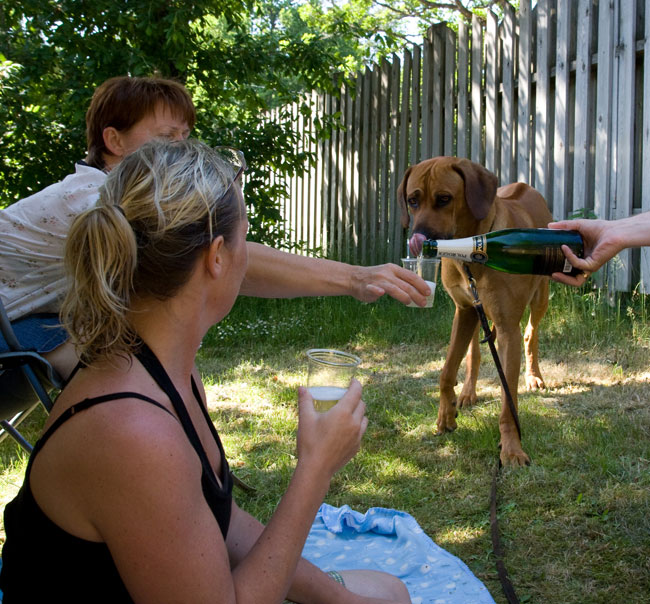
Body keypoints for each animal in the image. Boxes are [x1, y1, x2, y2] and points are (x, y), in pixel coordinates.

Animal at [398, 157, 548, 468]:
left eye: (444, 199)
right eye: (412, 200)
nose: (419, 240)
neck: (471, 255)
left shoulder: (508, 327)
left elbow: (508, 399)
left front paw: (511, 449)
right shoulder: (464, 311)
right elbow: (446, 371)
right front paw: (445, 415)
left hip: (542, 295)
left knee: (531, 333)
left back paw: (534, 376)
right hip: (476, 314)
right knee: (475, 352)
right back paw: (468, 392)